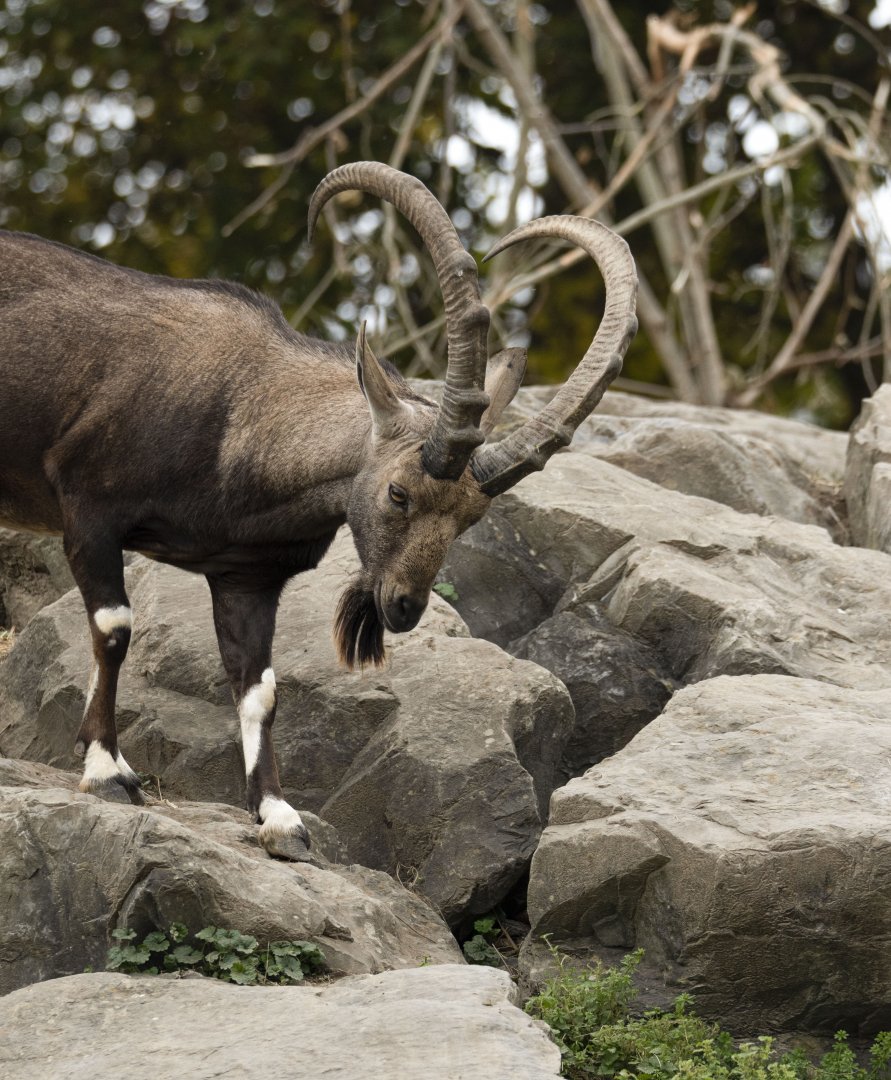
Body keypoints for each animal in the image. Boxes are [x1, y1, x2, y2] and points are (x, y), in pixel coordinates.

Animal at [0, 162, 637, 861]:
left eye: (470, 518)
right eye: (398, 492)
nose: (403, 607)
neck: (241, 416)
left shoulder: (245, 576)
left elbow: (260, 688)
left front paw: (280, 817)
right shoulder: (90, 513)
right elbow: (114, 630)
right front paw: (106, 770)